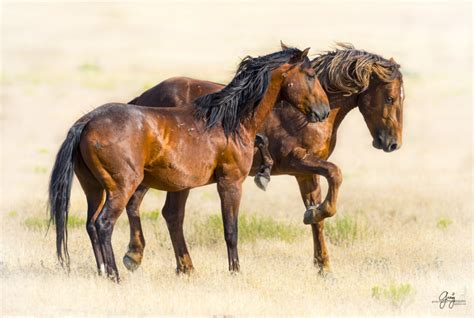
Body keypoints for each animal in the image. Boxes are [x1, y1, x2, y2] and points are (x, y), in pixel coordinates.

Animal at [47, 46, 330, 280]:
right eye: (310, 74)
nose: (324, 111)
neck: (231, 121)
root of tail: (86, 122)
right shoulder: (230, 183)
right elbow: (231, 231)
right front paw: (235, 272)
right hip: (121, 187)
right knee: (104, 224)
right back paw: (116, 275)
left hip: (94, 189)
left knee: (91, 225)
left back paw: (104, 271)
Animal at [122, 42, 404, 276]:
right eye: (390, 98)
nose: (392, 143)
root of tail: (144, 98)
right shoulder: (297, 161)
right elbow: (336, 174)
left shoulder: (306, 172)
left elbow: (319, 217)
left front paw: (323, 264)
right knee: (159, 210)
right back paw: (142, 257)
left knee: (161, 211)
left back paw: (171, 264)